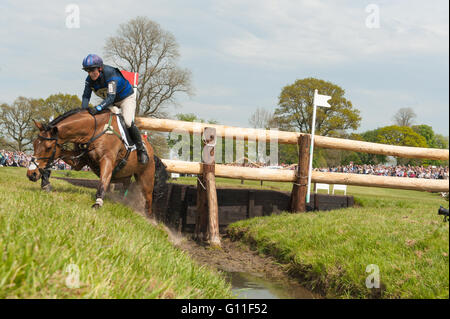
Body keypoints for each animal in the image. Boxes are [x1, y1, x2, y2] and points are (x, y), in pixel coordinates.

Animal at [26, 109, 168, 219]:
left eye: (49, 147)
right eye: (34, 143)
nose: (31, 174)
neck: (94, 130)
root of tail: (152, 153)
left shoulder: (107, 160)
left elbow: (103, 181)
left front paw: (98, 202)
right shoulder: (79, 161)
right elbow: (60, 153)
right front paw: (45, 182)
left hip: (146, 180)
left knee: (148, 201)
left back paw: (148, 218)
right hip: (124, 176)